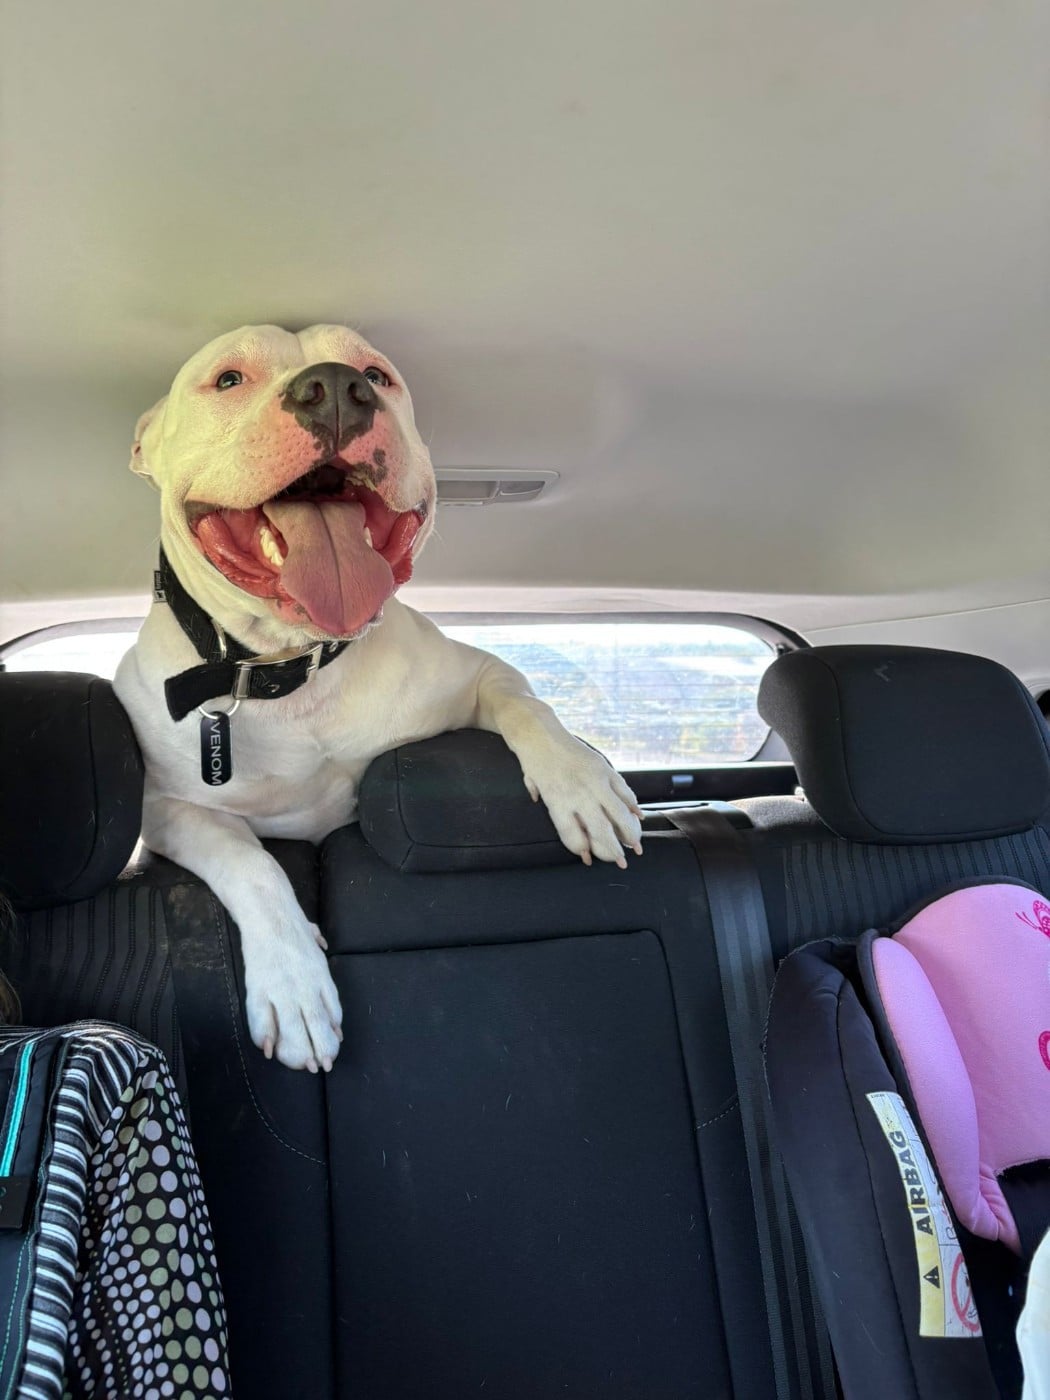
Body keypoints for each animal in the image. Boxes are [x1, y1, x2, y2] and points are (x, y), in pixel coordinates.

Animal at [114, 324, 643, 1073]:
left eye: (377, 373)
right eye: (227, 379)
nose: (337, 387)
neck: (297, 667)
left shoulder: (476, 675)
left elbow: (526, 705)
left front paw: (580, 782)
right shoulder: (168, 810)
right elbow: (250, 865)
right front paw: (295, 985)